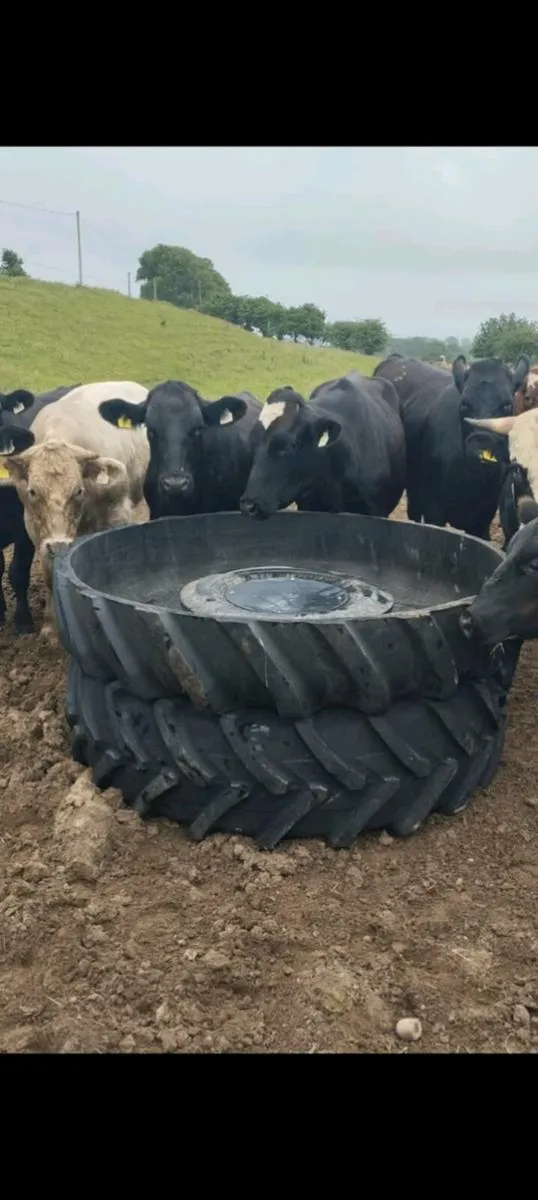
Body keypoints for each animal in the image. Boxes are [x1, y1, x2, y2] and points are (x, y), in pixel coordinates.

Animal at [373, 353, 529, 540]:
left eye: (507, 404)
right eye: (464, 403)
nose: (481, 441)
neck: (471, 478)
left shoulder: (483, 518)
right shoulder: (433, 509)